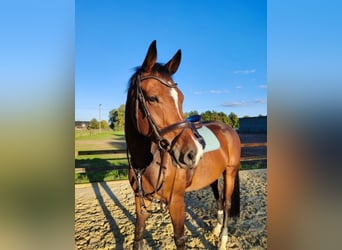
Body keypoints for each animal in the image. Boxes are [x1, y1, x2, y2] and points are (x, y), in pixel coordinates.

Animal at [125, 40, 240, 249]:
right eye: (152, 98)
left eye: (181, 97)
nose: (193, 153)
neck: (145, 163)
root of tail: (229, 128)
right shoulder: (141, 201)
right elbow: (138, 234)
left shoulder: (177, 202)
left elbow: (179, 239)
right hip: (214, 176)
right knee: (219, 199)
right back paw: (217, 229)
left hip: (230, 172)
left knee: (227, 203)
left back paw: (223, 240)